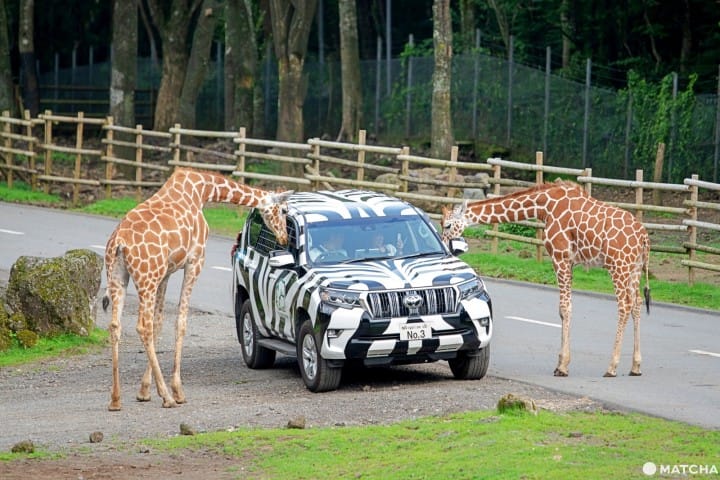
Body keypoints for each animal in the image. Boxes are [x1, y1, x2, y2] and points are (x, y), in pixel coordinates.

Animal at [102, 168, 292, 408]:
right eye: (284, 210)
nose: (284, 238)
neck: (202, 190)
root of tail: (119, 243)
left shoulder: (166, 272)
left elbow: (159, 323)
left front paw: (144, 390)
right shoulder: (194, 261)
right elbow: (180, 323)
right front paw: (177, 390)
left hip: (119, 277)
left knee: (116, 325)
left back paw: (115, 399)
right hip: (147, 277)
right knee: (142, 327)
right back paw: (167, 397)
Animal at [438, 181, 652, 378]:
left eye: (447, 225)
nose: (446, 245)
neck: (544, 206)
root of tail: (644, 237)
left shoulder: (560, 256)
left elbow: (564, 308)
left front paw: (562, 366)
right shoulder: (569, 261)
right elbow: (564, 308)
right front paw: (561, 363)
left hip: (618, 266)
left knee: (624, 305)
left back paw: (611, 367)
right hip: (635, 269)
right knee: (637, 303)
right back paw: (636, 366)